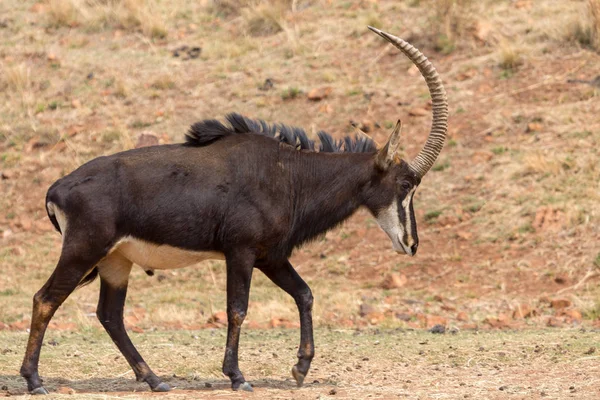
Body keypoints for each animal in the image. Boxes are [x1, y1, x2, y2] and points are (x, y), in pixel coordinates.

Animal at [21, 27, 448, 394]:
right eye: (406, 185)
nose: (411, 243)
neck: (290, 174)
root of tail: (58, 187)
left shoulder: (270, 256)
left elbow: (305, 293)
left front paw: (300, 368)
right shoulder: (240, 252)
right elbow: (238, 308)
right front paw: (238, 376)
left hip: (115, 261)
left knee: (110, 315)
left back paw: (155, 379)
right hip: (84, 250)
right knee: (45, 298)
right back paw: (34, 381)